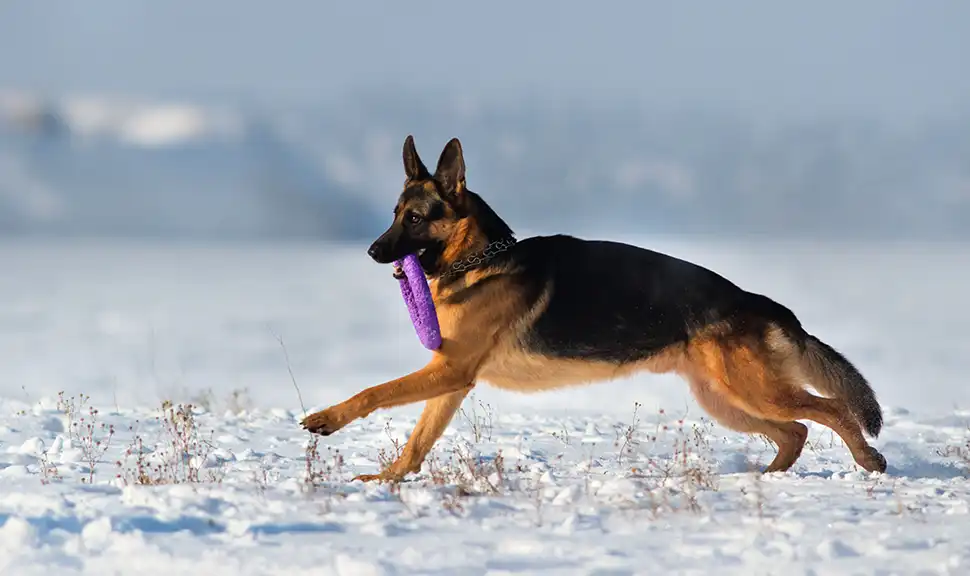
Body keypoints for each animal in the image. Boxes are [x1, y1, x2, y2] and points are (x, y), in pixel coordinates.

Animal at [302, 135, 884, 482]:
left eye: (416, 219)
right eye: (394, 213)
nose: (372, 251)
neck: (483, 258)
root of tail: (762, 303)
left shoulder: (449, 370)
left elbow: (375, 391)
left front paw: (327, 419)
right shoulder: (452, 379)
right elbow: (418, 440)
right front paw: (387, 481)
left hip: (751, 389)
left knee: (830, 410)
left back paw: (868, 461)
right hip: (727, 399)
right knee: (797, 430)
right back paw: (768, 477)